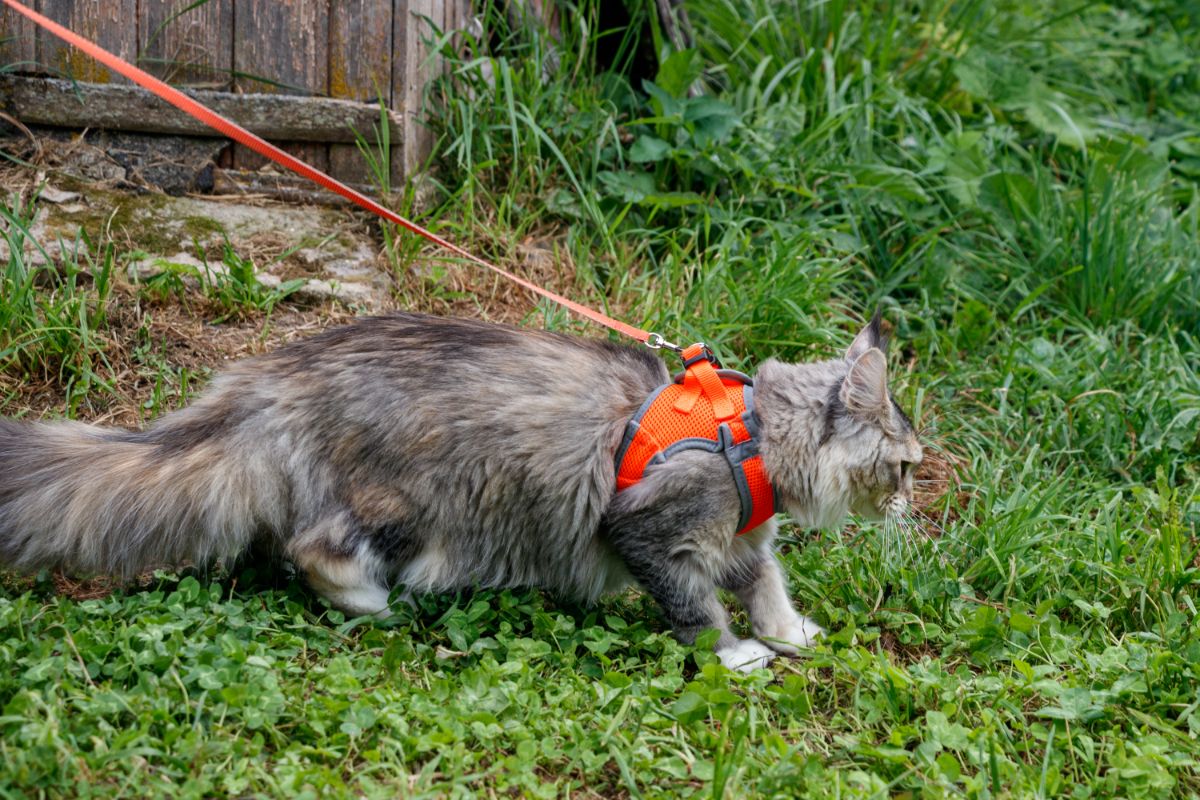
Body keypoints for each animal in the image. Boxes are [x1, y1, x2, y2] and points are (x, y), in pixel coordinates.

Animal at [0, 311, 921, 671]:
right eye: (908, 464)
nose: (913, 503)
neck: (754, 435)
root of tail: (266, 384)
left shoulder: (739, 539)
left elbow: (766, 582)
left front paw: (789, 631)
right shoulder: (653, 530)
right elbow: (699, 609)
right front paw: (737, 654)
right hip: (408, 506)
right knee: (313, 549)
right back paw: (373, 603)